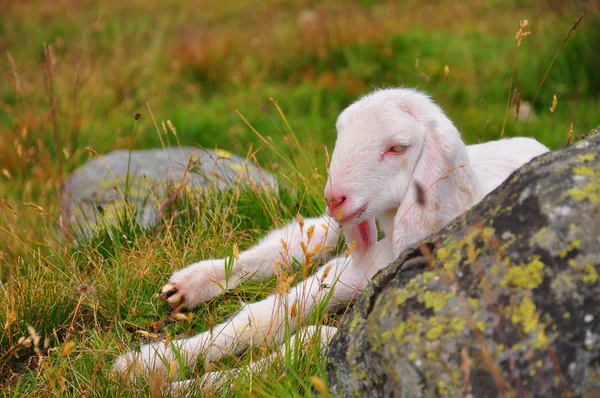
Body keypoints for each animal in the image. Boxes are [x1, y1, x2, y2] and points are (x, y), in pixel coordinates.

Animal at [112, 87, 548, 386]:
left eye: (398, 147)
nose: (335, 196)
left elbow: (305, 339)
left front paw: (186, 384)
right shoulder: (356, 265)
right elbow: (262, 317)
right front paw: (146, 365)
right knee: (304, 236)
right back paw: (190, 284)